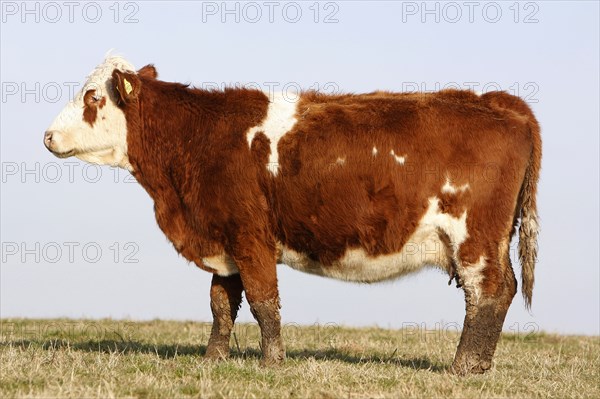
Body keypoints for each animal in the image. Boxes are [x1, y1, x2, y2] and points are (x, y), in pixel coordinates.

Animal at [42, 55, 540, 376]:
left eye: (92, 97)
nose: (47, 136)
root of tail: (498, 101)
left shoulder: (250, 236)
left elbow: (264, 302)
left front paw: (271, 363)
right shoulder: (224, 238)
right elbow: (221, 304)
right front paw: (213, 359)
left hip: (474, 237)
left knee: (487, 292)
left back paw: (463, 368)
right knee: (503, 290)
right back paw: (478, 365)